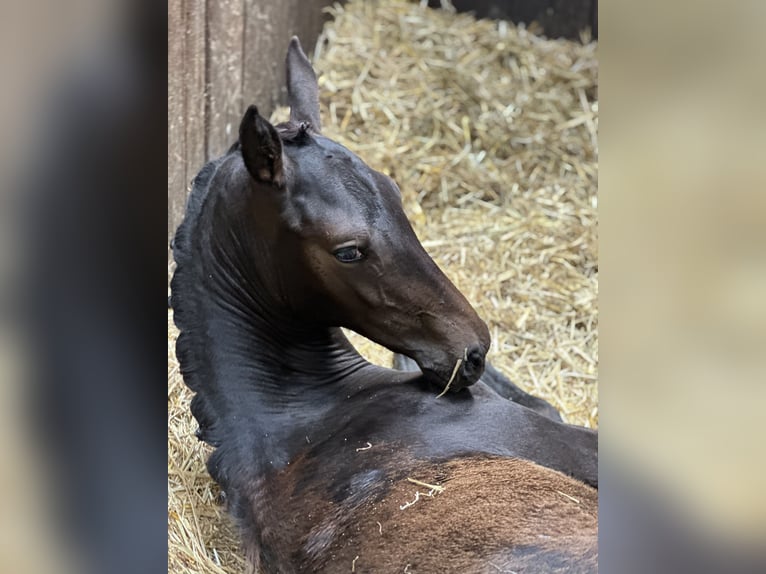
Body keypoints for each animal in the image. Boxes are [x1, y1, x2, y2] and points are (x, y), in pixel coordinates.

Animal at [172, 37, 600, 574]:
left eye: (394, 192)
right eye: (348, 251)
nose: (472, 349)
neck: (302, 415)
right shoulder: (552, 437)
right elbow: (550, 408)